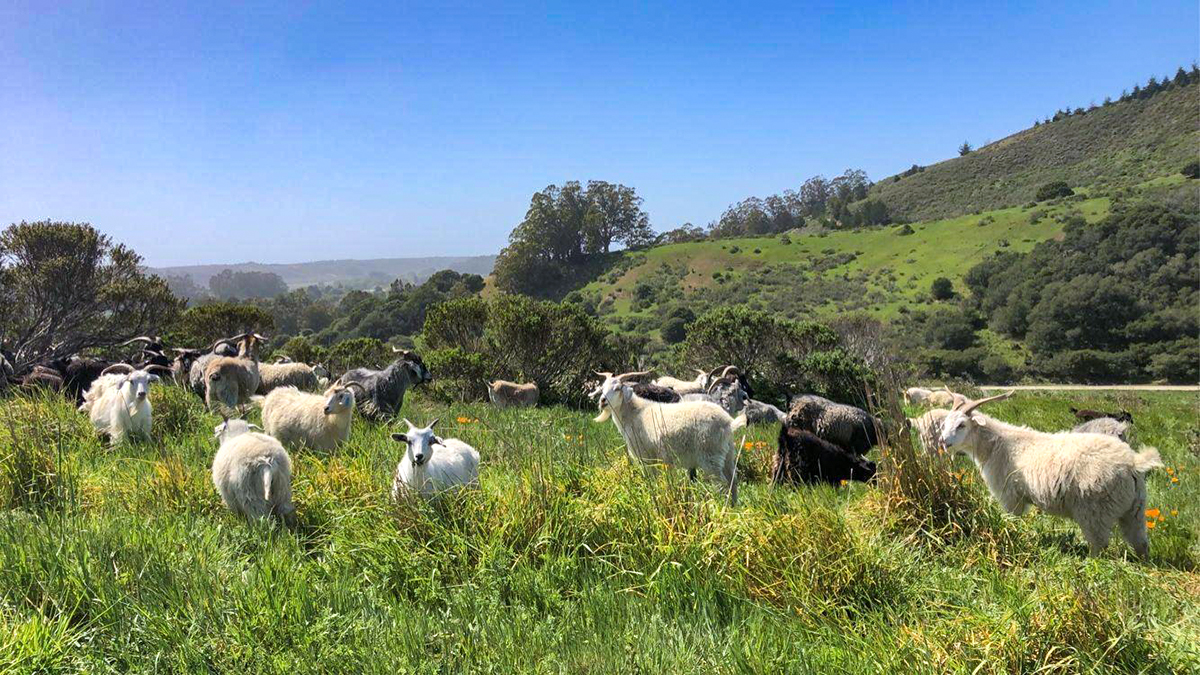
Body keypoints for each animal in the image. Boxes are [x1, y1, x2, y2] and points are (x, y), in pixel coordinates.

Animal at [936, 389, 1161, 557]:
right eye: (945, 424)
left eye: (962, 424)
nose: (942, 442)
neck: (998, 445)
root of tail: (1133, 463)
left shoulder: (1011, 498)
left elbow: (1012, 521)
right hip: (1135, 510)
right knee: (1141, 544)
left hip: (1095, 512)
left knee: (1099, 546)